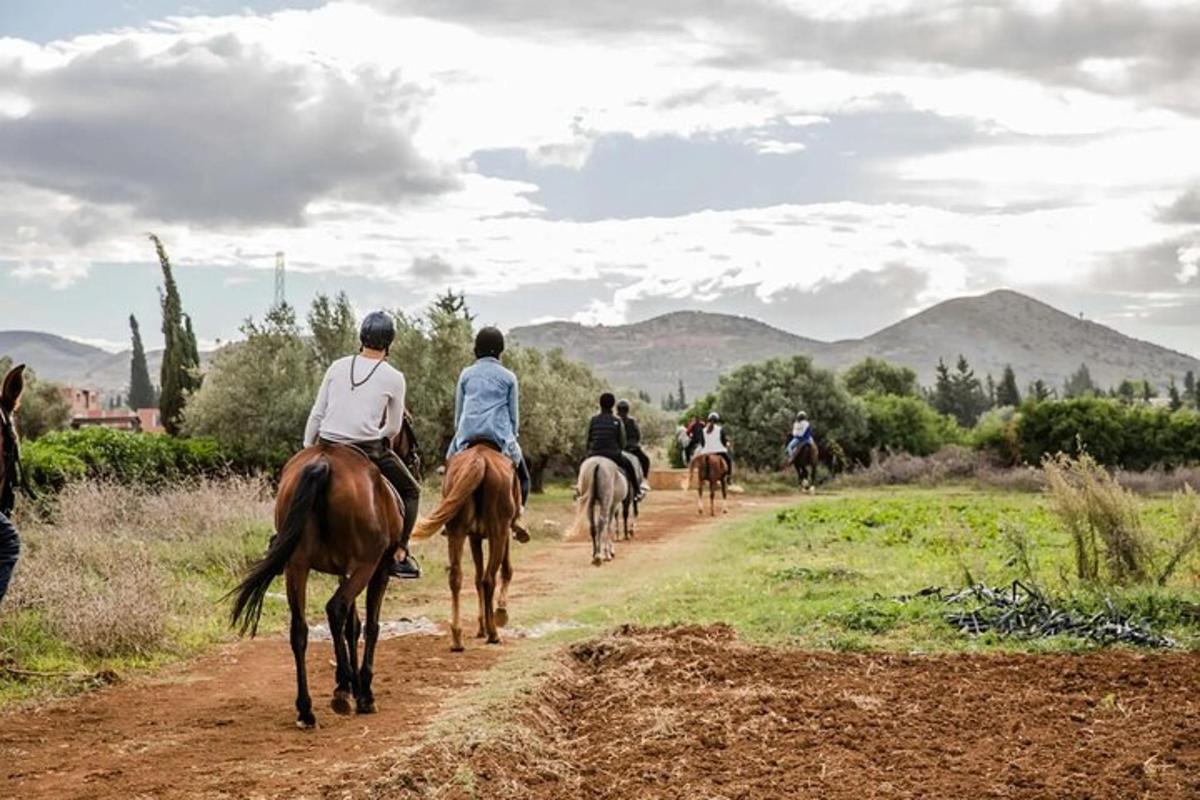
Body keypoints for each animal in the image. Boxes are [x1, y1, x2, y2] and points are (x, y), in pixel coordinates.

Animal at [231, 431, 420, 734]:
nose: (415, 456)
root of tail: (324, 463)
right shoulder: (376, 570)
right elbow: (370, 626)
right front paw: (363, 692)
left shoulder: (345, 570)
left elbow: (352, 627)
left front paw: (355, 685)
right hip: (366, 564)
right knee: (336, 608)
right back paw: (342, 690)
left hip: (297, 566)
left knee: (300, 629)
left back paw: (306, 710)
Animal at [410, 441, 518, 652]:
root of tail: (480, 460)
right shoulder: (504, 533)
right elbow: (506, 569)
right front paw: (501, 612)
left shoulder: (474, 538)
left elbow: (476, 579)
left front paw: (481, 627)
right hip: (497, 532)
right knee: (488, 579)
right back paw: (493, 634)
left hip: (457, 531)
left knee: (456, 578)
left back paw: (457, 637)